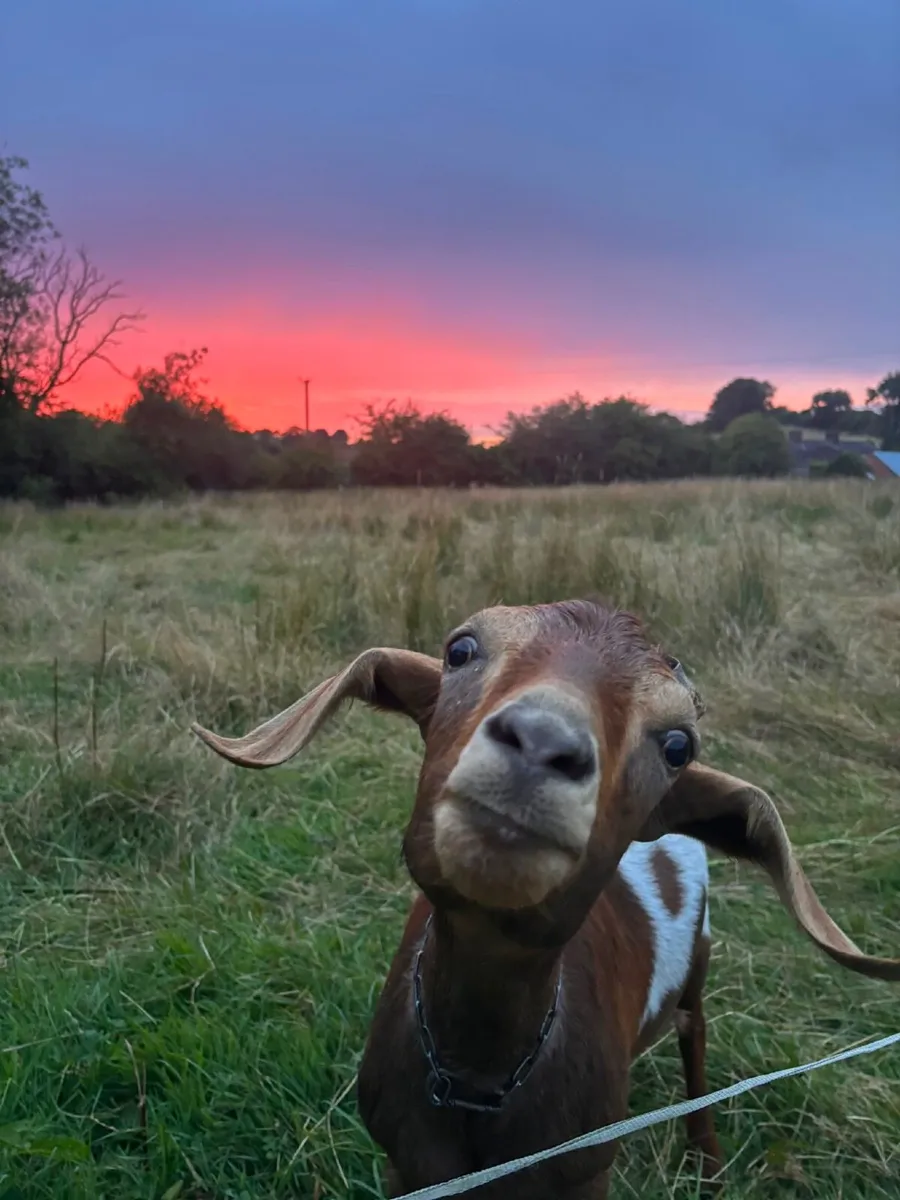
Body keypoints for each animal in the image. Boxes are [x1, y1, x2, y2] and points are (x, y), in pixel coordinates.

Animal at [192, 599, 900, 1198]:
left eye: (678, 745)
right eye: (460, 650)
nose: (542, 742)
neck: (477, 1078)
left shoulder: (583, 1173)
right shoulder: (405, 1165)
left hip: (699, 961)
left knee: (693, 1034)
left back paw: (707, 1162)